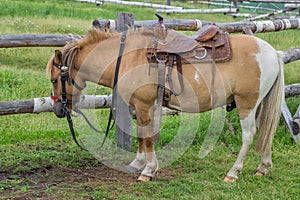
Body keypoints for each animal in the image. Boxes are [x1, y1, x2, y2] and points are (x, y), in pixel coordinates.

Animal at [46, 27, 284, 183]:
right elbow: (142, 134)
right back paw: (263, 167)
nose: (59, 110)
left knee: (249, 135)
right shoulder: (143, 105)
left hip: (247, 104)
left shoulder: (144, 104)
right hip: (260, 104)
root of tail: (272, 52)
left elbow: (148, 136)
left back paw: (233, 173)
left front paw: (148, 171)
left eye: (55, 80)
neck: (129, 57)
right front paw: (138, 163)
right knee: (266, 130)